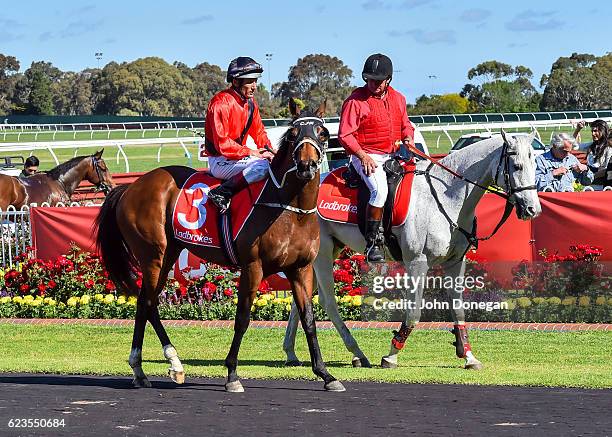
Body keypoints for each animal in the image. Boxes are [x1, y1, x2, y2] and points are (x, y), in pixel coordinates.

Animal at [94, 99, 344, 392]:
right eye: (293, 134)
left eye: (323, 133)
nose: (307, 165)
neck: (291, 210)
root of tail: (130, 187)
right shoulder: (253, 266)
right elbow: (243, 319)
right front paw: (232, 374)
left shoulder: (300, 269)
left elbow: (309, 320)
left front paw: (326, 374)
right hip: (153, 255)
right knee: (145, 302)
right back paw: (142, 366)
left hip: (169, 254)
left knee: (149, 302)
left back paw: (167, 365)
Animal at [284, 131, 544, 370]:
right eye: (517, 166)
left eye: (535, 165)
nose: (533, 209)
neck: (445, 198)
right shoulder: (417, 263)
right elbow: (414, 311)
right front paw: (392, 353)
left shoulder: (455, 262)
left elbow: (458, 309)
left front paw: (468, 354)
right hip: (323, 254)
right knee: (328, 302)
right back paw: (357, 352)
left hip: (326, 253)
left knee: (302, 300)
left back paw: (291, 352)